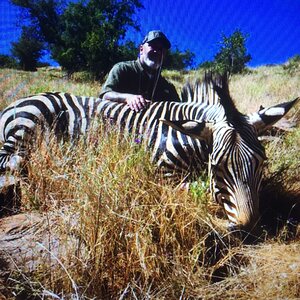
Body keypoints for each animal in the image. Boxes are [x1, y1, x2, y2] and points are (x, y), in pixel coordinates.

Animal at [0, 74, 296, 231]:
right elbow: (192, 188)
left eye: (261, 163)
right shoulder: (162, 172)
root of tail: (14, 103)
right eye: (218, 166)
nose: (248, 225)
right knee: (12, 159)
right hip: (29, 122)